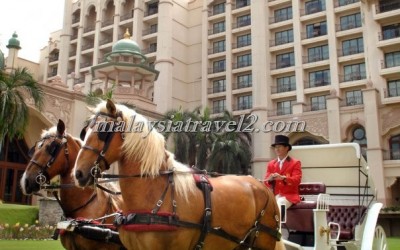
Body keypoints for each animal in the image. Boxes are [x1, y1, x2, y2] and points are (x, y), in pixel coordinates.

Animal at [72, 100, 284, 250]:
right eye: (84, 131)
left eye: (103, 131)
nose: (79, 173)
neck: (155, 194)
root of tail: (261, 185)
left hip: (264, 242)